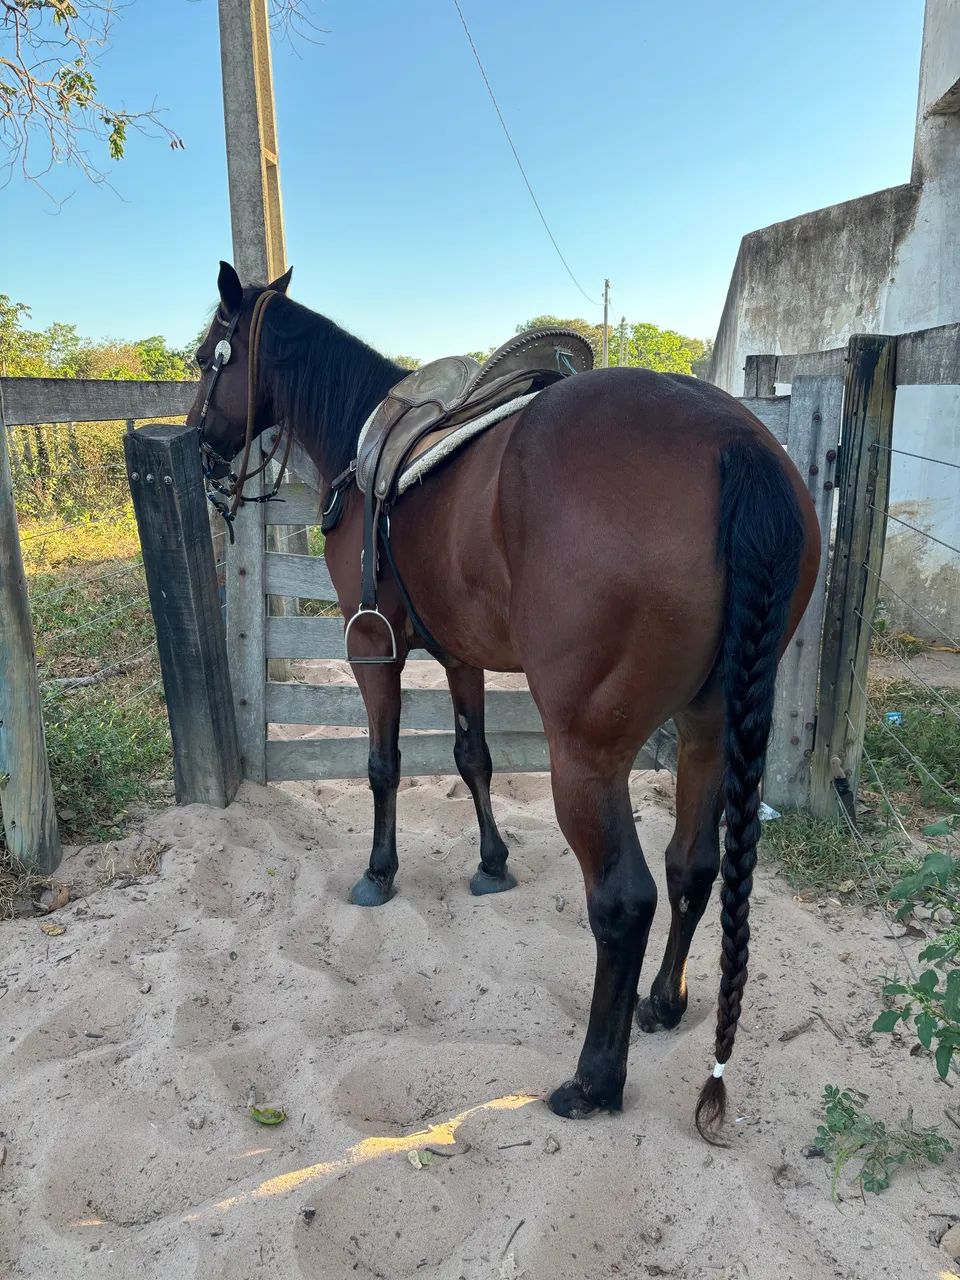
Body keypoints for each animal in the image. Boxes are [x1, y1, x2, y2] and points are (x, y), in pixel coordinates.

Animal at [188, 261, 820, 1139]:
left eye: (207, 357)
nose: (197, 447)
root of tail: (737, 443)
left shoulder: (373, 651)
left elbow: (383, 766)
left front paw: (379, 873)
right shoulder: (461, 657)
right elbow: (472, 757)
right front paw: (491, 864)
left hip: (586, 756)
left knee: (623, 900)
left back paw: (593, 1080)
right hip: (706, 728)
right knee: (691, 866)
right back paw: (664, 1003)